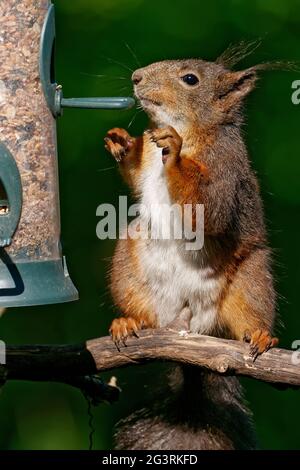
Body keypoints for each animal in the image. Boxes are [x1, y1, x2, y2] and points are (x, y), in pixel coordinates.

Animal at [103, 46, 282, 450]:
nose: (136, 77)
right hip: (130, 262)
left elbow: (208, 209)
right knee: (144, 312)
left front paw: (174, 151)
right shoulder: (147, 165)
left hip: (250, 279)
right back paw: (129, 321)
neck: (190, 128)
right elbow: (137, 173)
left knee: (250, 313)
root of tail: (190, 326)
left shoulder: (224, 169)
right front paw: (121, 142)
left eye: (190, 79)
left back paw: (261, 334)